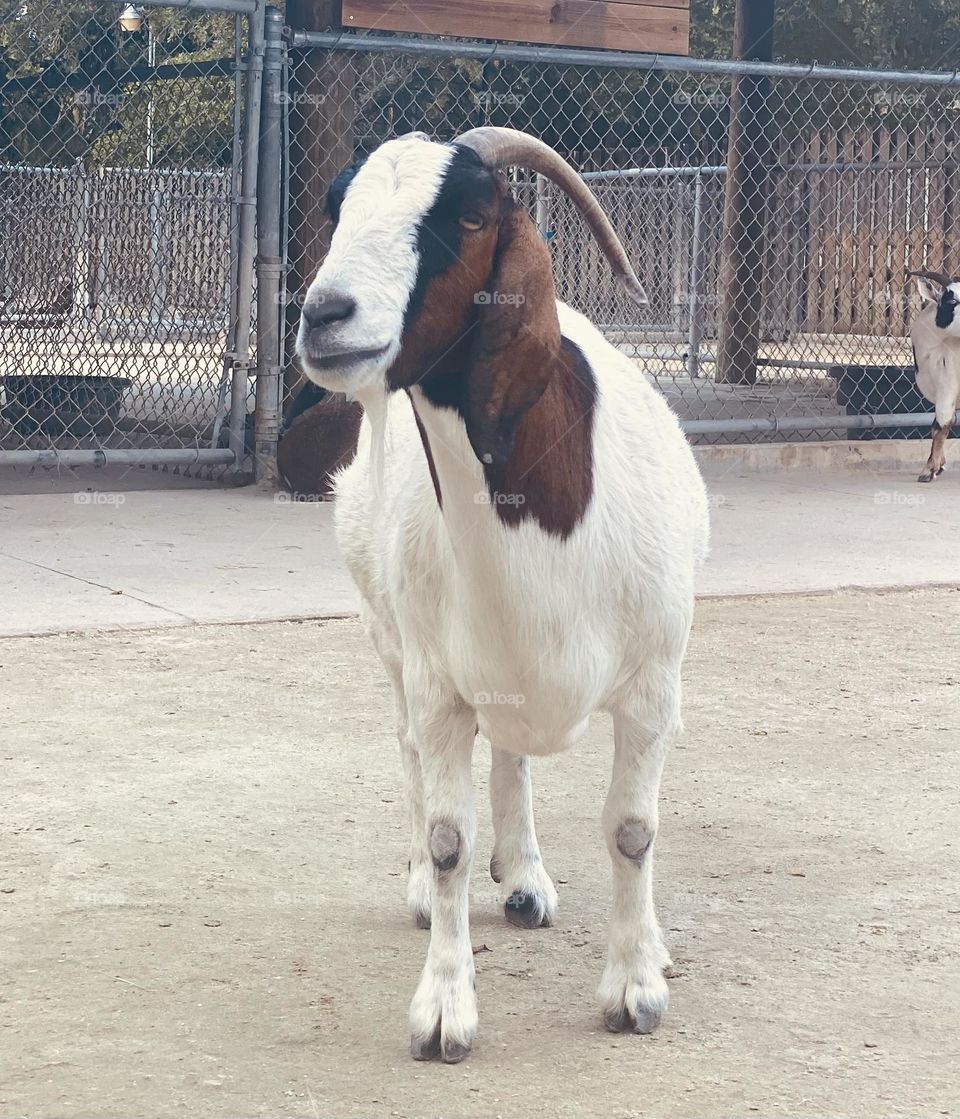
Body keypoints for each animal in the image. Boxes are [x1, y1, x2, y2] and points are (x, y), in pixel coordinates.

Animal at [295, 128, 709, 1063]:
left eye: (470, 215)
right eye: (339, 207)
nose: (324, 314)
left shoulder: (654, 686)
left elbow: (633, 830)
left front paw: (636, 986)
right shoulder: (439, 684)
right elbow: (450, 838)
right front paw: (444, 1010)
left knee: (517, 755)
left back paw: (526, 880)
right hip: (392, 641)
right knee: (413, 751)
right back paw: (436, 885)